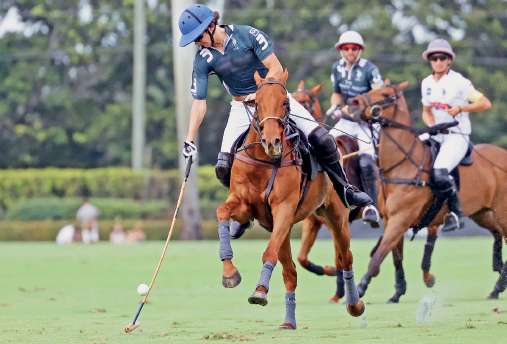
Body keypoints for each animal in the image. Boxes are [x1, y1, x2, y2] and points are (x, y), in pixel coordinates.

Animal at [217, 68, 366, 330]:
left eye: (285, 102)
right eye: (256, 103)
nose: (272, 142)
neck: (264, 161)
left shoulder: (284, 209)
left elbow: (268, 253)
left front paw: (259, 291)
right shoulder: (246, 206)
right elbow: (222, 211)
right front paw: (229, 273)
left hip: (336, 217)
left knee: (345, 258)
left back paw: (354, 305)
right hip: (285, 227)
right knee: (291, 271)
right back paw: (288, 322)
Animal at [352, 82, 507, 300]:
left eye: (385, 93)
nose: (354, 102)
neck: (403, 166)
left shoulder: (401, 218)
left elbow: (379, 256)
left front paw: (359, 289)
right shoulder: (391, 219)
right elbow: (395, 256)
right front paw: (397, 293)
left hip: (502, 210)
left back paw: (498, 285)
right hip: (480, 212)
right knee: (496, 232)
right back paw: (497, 279)